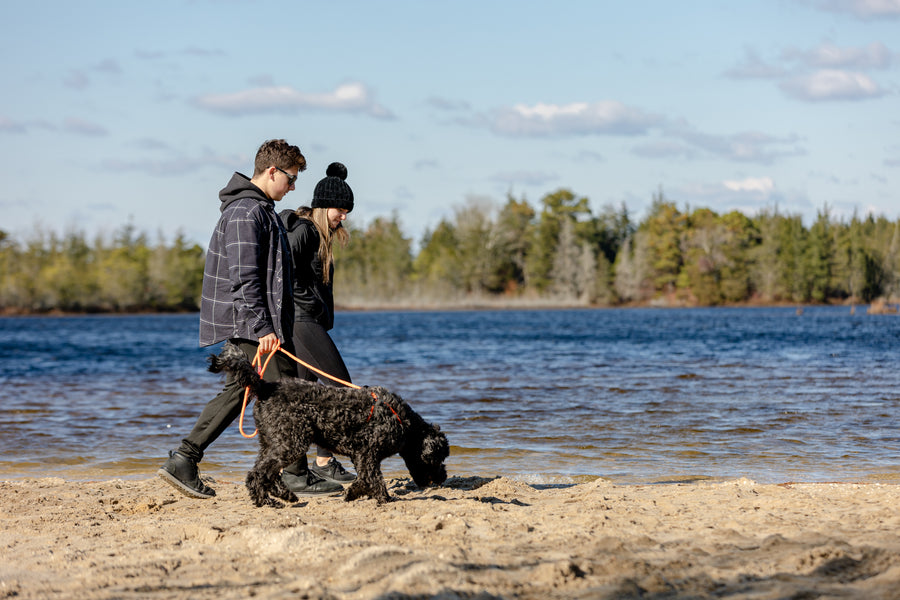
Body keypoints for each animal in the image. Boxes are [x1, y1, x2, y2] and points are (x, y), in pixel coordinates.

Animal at [210, 342, 450, 506]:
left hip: (272, 441)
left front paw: (353, 493)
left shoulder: (361, 455)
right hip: (290, 442)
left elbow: (365, 478)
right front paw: (383, 498)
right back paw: (265, 501)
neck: (405, 423)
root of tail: (264, 386)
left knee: (268, 472)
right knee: (258, 473)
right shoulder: (368, 453)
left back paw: (284, 494)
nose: (443, 478)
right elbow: (373, 478)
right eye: (438, 458)